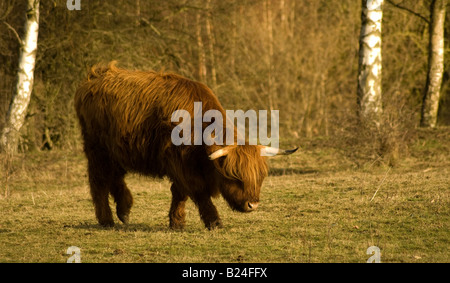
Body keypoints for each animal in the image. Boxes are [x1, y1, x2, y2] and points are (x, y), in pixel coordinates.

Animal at [74, 62, 298, 231]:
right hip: (97, 149)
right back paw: (107, 219)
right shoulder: (180, 163)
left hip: (117, 150)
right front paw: (214, 222)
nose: (253, 204)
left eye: (260, 177)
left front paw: (177, 222)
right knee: (99, 180)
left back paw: (125, 209)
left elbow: (180, 193)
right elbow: (197, 192)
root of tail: (95, 75)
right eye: (234, 176)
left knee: (115, 177)